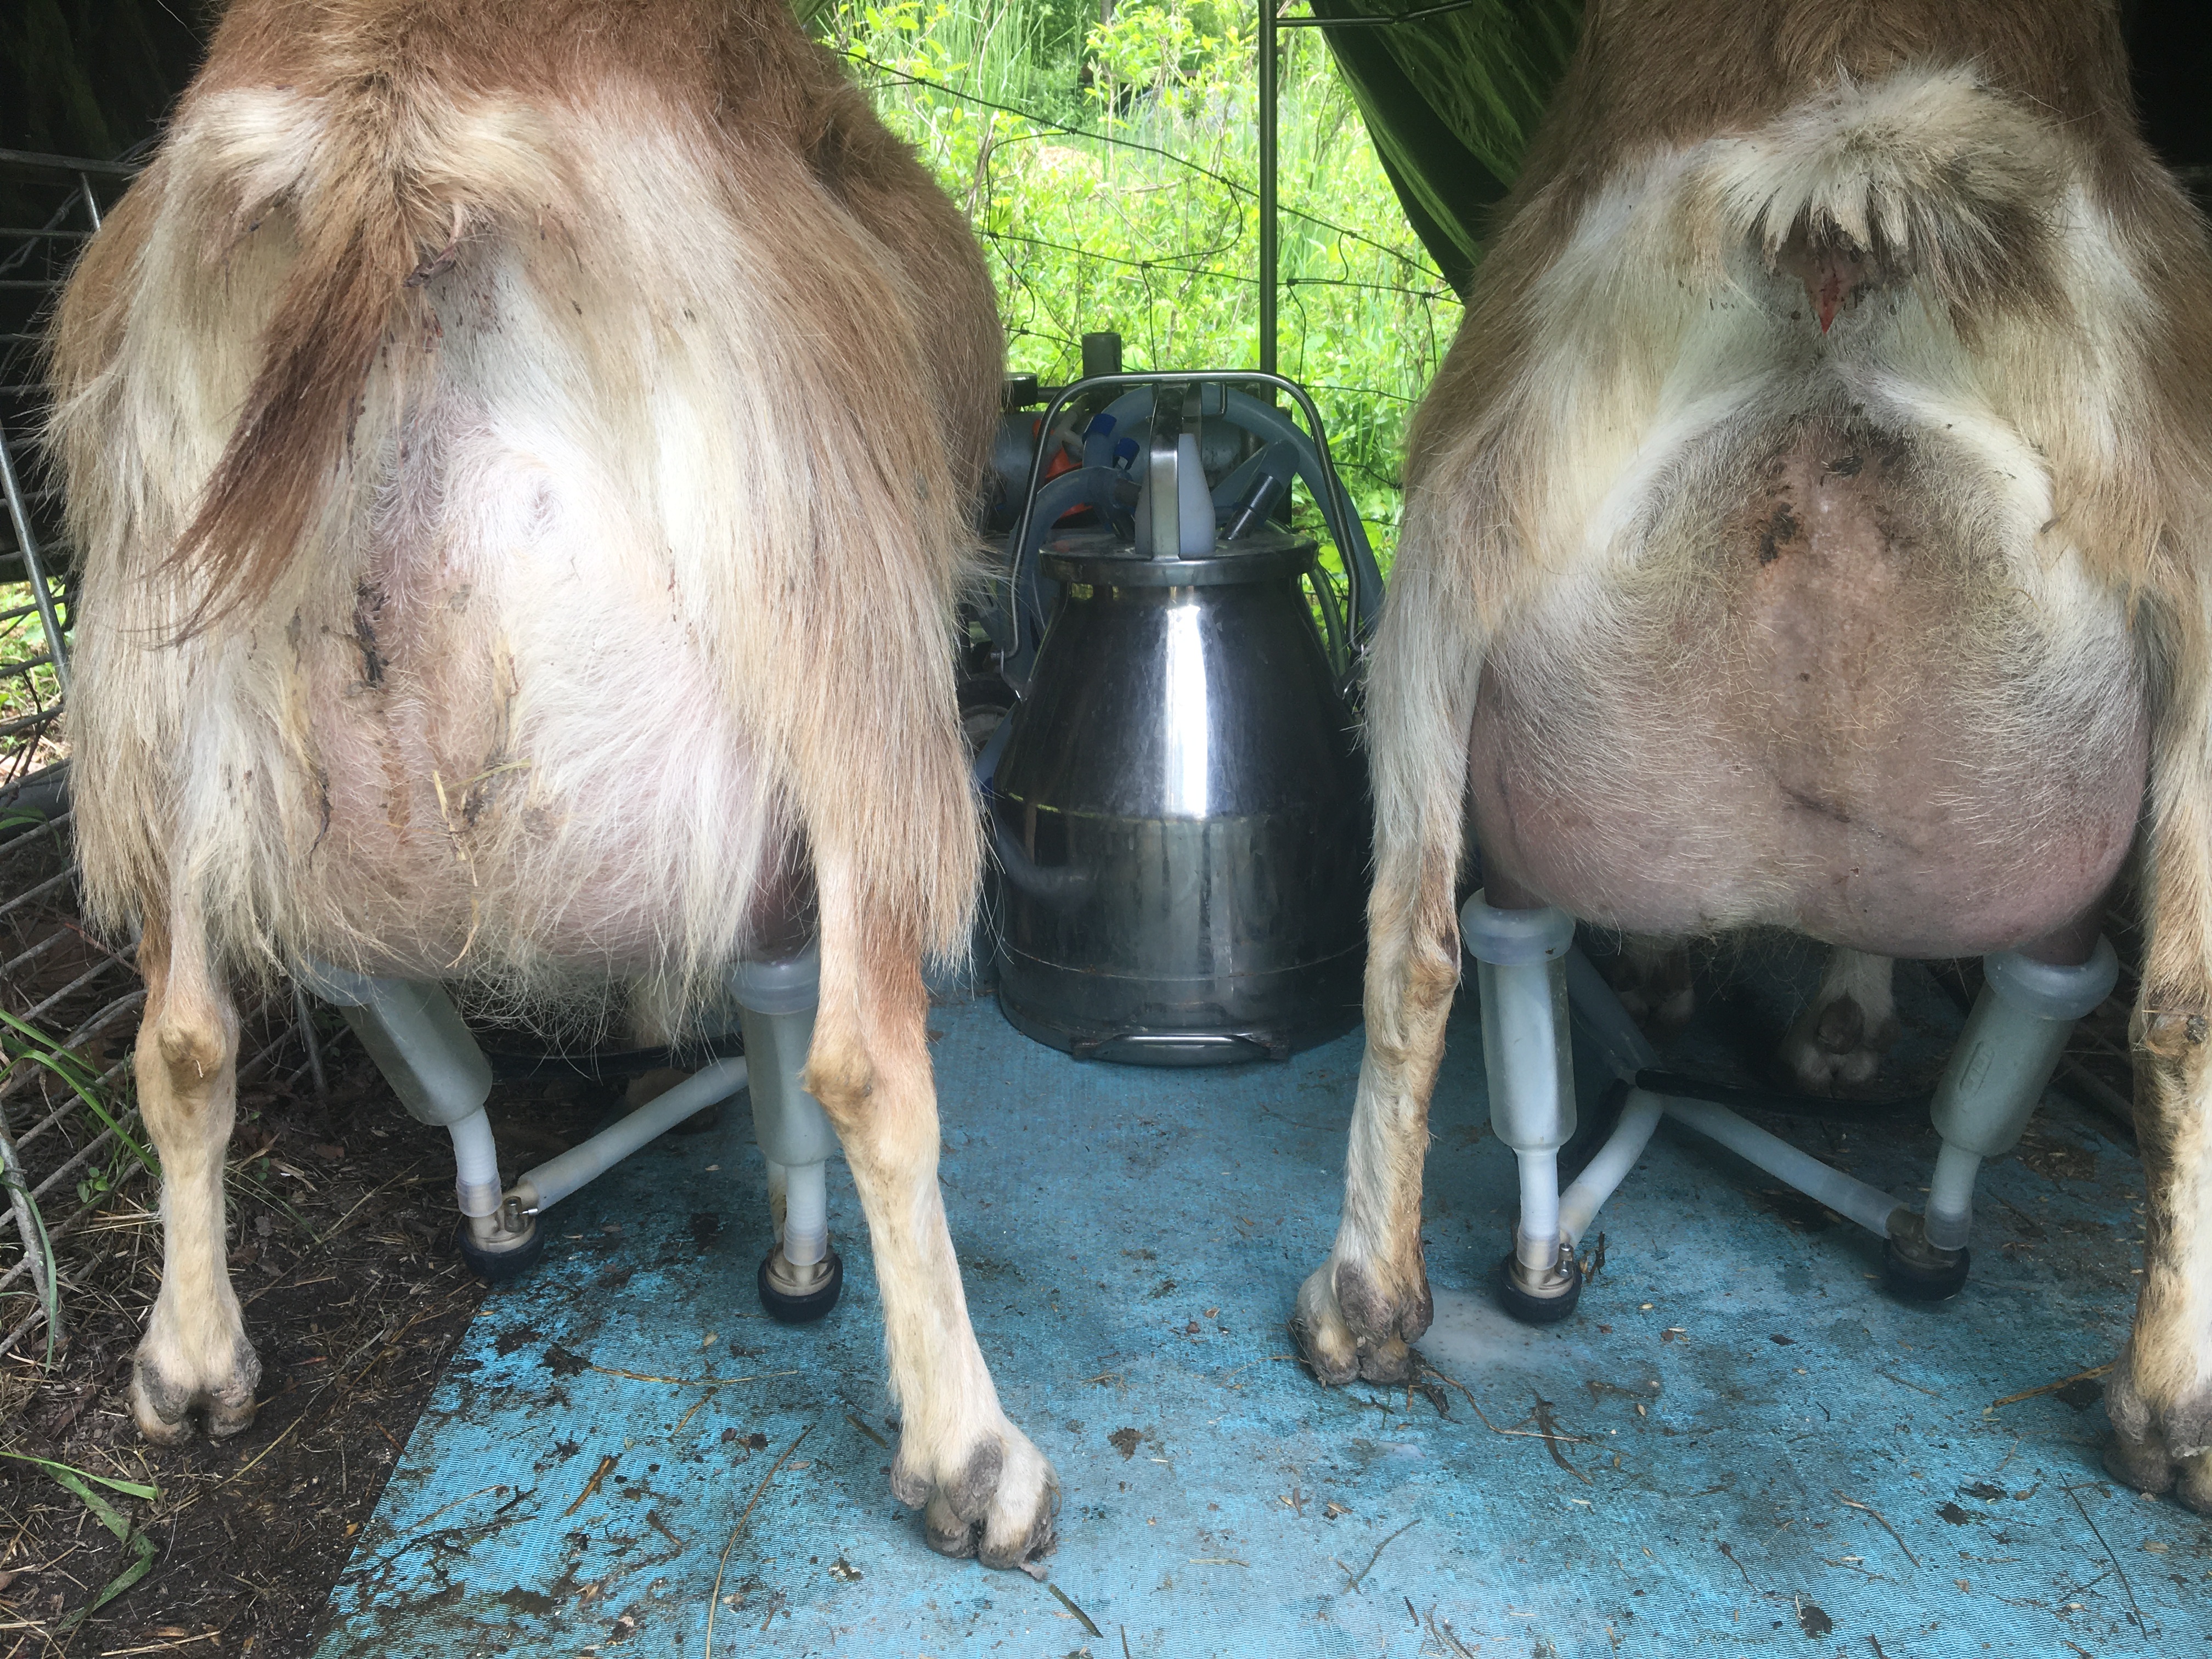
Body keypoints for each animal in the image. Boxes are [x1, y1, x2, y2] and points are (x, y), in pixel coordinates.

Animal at [47, 0, 1058, 1566]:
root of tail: (385, 114)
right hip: (841, 629)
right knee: (864, 1066)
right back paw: (971, 1460)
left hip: (145, 712)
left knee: (186, 1043)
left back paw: (193, 1365)